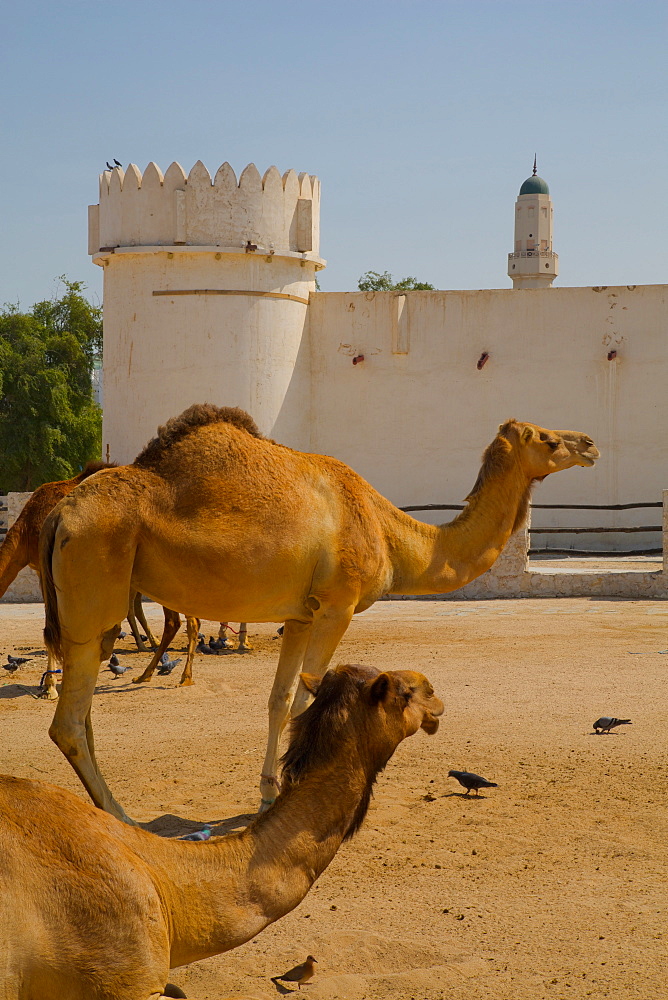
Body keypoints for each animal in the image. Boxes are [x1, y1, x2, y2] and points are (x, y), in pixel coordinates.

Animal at [39, 402, 596, 824]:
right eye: (548, 439)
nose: (589, 443)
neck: (390, 534)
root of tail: (58, 513)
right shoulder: (337, 605)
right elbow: (309, 696)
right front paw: (297, 790)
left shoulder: (300, 615)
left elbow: (280, 699)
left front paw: (268, 792)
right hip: (93, 594)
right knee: (68, 722)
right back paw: (122, 816)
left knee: (83, 713)